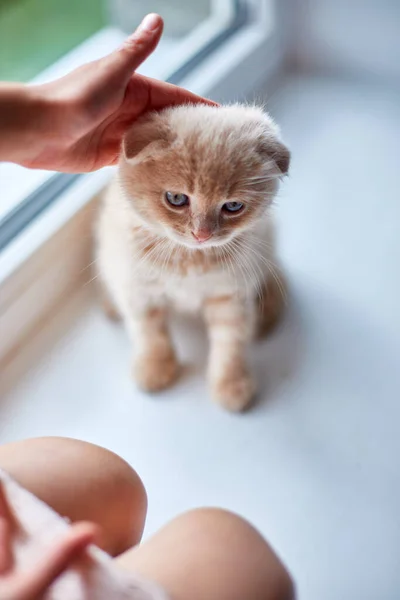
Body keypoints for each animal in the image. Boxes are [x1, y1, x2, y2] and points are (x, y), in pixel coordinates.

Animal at [97, 104, 290, 412]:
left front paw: (231, 383)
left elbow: (231, 340)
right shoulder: (139, 290)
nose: (202, 234)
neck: (190, 258)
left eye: (232, 206)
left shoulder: (231, 294)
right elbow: (149, 333)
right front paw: (155, 367)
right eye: (176, 198)